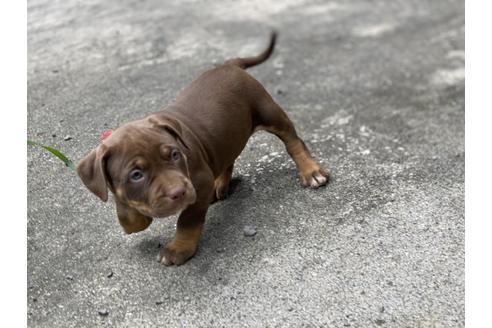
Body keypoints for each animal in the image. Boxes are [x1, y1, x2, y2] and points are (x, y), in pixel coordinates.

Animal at [79, 32, 328, 266]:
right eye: (136, 175)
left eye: (175, 155)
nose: (178, 192)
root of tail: (230, 64)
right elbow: (124, 208)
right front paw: (134, 220)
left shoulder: (198, 182)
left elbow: (187, 220)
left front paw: (178, 249)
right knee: (228, 157)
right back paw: (220, 185)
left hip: (268, 111)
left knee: (293, 141)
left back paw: (311, 172)